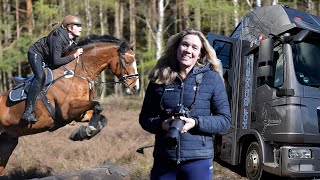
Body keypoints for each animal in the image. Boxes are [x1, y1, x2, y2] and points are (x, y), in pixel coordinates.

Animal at [0, 34, 139, 175]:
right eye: (127, 62)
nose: (135, 88)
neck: (75, 74)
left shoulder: (80, 114)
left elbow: (102, 117)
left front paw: (81, 133)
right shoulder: (67, 111)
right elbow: (98, 105)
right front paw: (88, 130)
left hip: (7, 142)